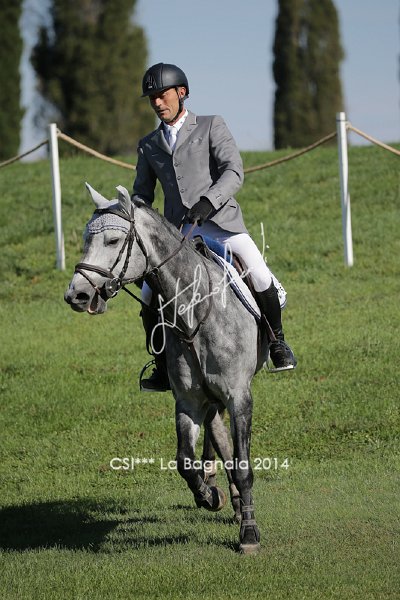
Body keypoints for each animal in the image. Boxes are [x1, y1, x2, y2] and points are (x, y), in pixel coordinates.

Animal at [64, 183, 268, 554]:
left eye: (113, 241)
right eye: (87, 240)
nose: (77, 295)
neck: (195, 310)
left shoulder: (239, 396)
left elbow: (244, 464)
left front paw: (248, 533)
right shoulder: (187, 400)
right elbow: (184, 461)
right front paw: (208, 495)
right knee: (216, 434)